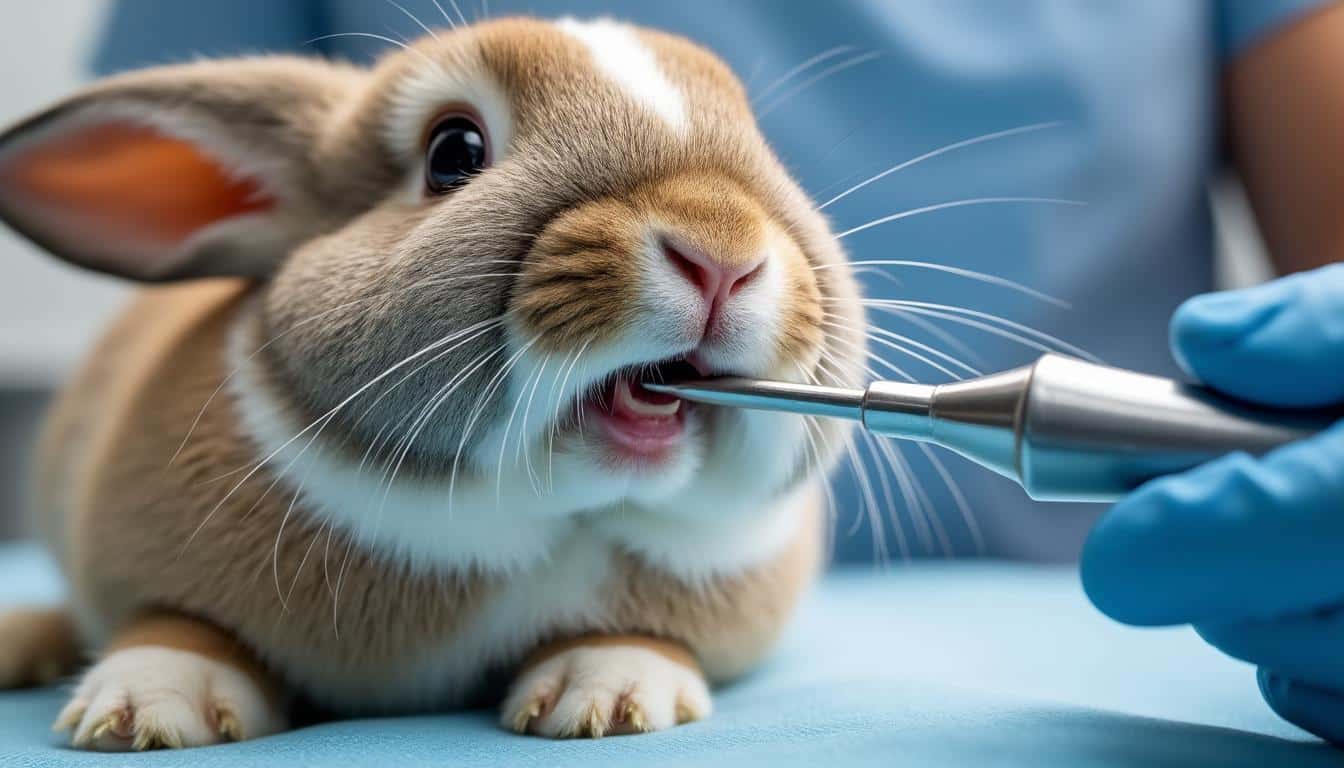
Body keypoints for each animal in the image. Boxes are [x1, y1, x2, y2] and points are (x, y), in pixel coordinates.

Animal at [0, 16, 865, 749]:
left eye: (761, 141)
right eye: (453, 152)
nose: (722, 253)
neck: (523, 515)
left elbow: (638, 632)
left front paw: (612, 697)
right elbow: (177, 624)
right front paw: (143, 709)